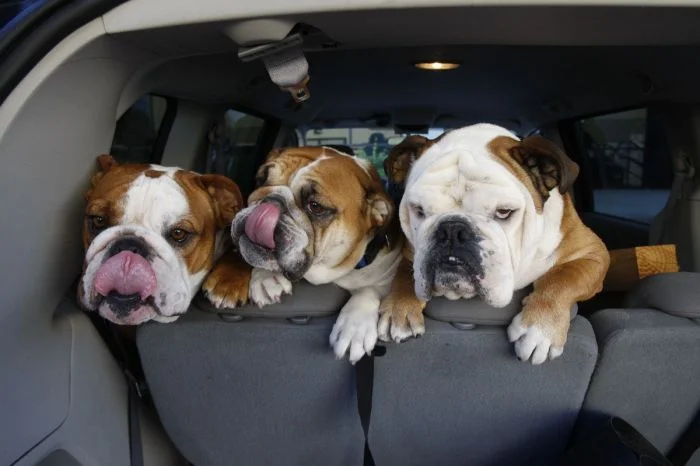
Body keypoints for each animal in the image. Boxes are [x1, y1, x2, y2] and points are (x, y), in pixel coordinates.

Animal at [223, 146, 403, 363]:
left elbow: (368, 290)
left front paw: (353, 327)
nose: (271, 200)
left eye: (315, 206)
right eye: (261, 180)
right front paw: (266, 278)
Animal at [378, 124, 610, 364]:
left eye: (504, 212)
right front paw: (398, 309)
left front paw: (539, 329)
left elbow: (564, 278)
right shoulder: (409, 253)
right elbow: (403, 275)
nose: (452, 230)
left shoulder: (593, 252)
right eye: (419, 210)